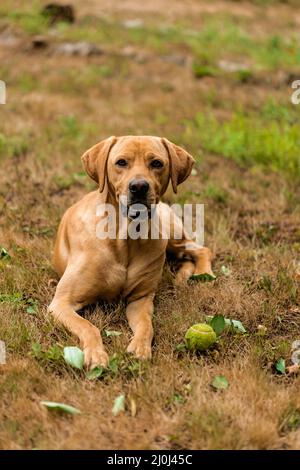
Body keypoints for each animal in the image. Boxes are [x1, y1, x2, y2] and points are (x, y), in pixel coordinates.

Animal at [48, 134, 213, 370]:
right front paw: (96, 354)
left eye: (157, 163)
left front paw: (140, 348)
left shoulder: (140, 300)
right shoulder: (61, 303)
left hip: (170, 233)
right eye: (121, 162)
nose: (139, 187)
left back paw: (202, 274)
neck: (125, 237)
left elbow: (146, 325)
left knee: (200, 249)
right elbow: (88, 326)